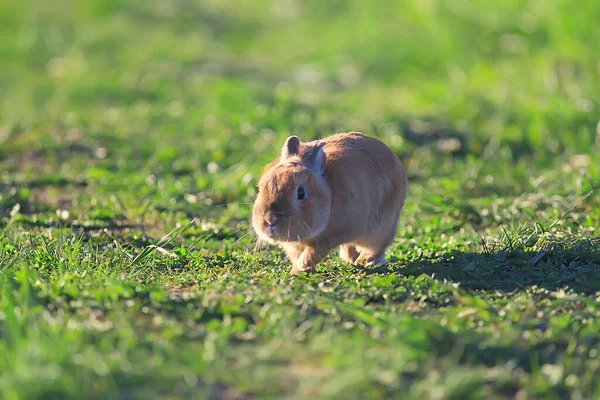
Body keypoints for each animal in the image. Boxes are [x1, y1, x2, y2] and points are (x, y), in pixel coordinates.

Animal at [248, 132, 408, 276]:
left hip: (381, 227)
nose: (270, 220)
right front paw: (299, 272)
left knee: (375, 248)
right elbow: (298, 255)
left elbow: (311, 254)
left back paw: (362, 261)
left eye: (301, 193)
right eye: (261, 188)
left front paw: (300, 268)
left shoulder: (330, 237)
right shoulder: (292, 245)